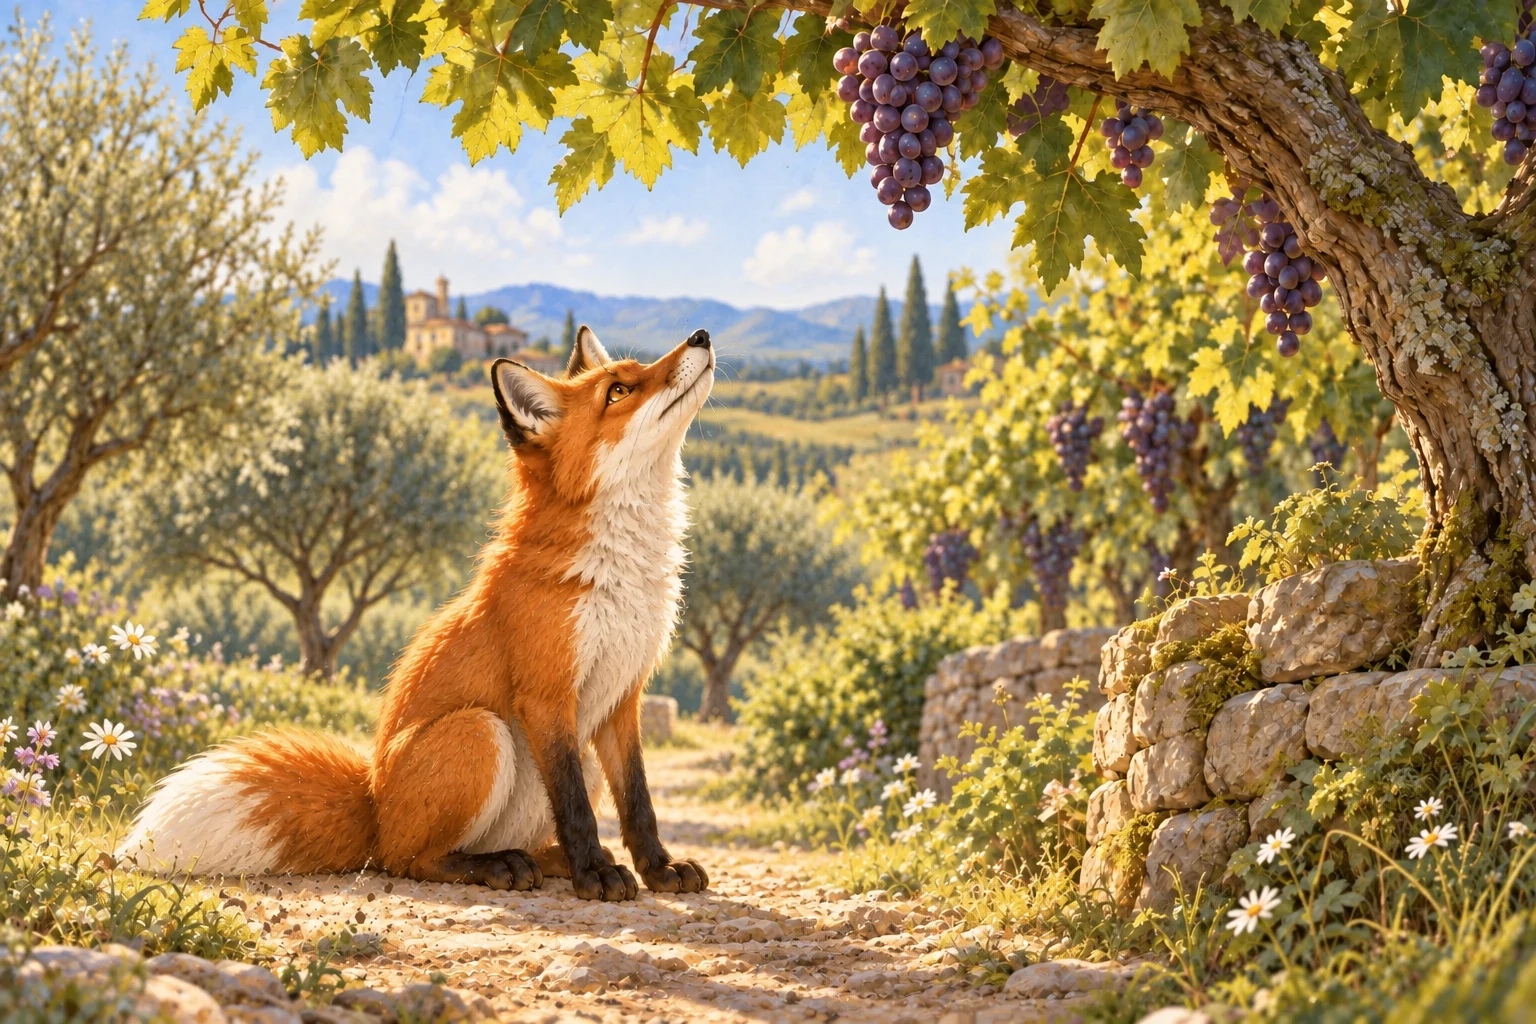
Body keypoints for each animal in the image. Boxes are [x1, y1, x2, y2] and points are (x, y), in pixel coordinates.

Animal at [119, 326, 715, 901]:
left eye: (636, 373)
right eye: (618, 391)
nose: (702, 336)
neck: (618, 574)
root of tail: (373, 806)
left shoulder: (622, 698)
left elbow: (637, 803)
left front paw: (658, 869)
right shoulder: (547, 696)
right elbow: (577, 811)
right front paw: (593, 875)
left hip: (563, 757)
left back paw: (543, 862)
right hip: (480, 732)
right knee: (413, 861)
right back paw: (500, 867)